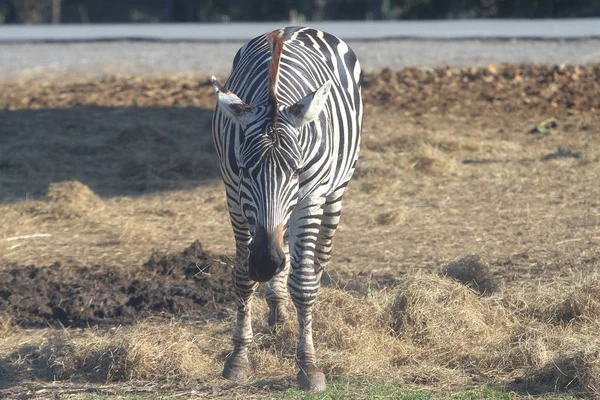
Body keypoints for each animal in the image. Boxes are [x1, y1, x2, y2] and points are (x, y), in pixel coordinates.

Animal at [211, 26, 360, 392]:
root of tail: (295, 28)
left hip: (335, 192)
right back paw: (279, 313)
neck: (273, 97)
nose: (266, 262)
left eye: (295, 170)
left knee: (316, 261)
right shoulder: (233, 193)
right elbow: (242, 274)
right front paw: (238, 357)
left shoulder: (310, 195)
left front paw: (309, 365)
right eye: (246, 169)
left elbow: (303, 282)